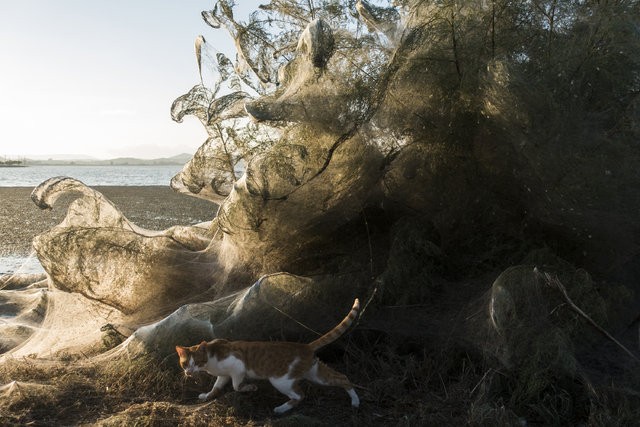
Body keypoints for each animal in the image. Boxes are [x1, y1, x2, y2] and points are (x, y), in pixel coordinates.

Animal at [175, 298, 360, 414]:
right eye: (185, 364)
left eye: (196, 361)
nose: (189, 372)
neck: (211, 356)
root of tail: (305, 346)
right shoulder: (224, 375)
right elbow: (216, 387)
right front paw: (207, 396)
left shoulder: (238, 366)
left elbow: (236, 385)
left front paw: (250, 388)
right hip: (315, 374)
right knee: (342, 378)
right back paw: (355, 402)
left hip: (280, 380)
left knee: (299, 395)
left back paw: (281, 409)